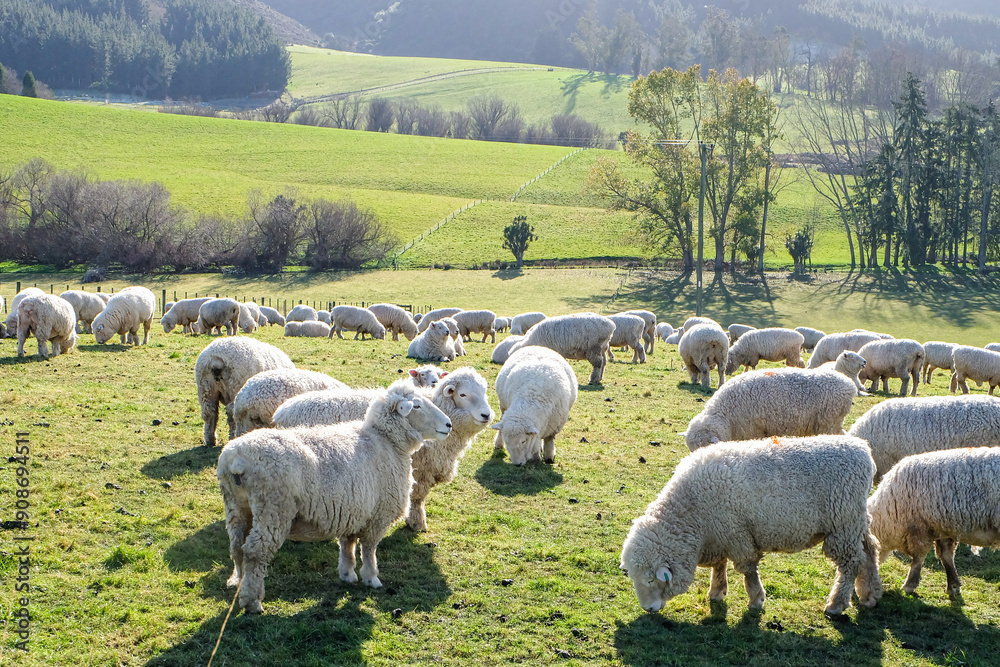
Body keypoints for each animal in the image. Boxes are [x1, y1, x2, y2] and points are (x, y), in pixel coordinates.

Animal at [217, 379, 453, 613]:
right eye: (417, 406)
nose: (449, 425)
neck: (387, 441)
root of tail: (235, 460)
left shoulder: (352, 510)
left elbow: (347, 545)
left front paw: (347, 574)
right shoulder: (378, 516)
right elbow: (369, 549)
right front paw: (371, 578)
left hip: (236, 506)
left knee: (236, 545)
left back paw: (237, 583)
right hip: (273, 508)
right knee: (255, 552)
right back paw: (252, 601)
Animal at [407, 367, 493, 531]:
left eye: (484, 392)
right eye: (462, 394)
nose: (486, 415)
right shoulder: (419, 470)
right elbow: (416, 498)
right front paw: (417, 523)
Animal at [620, 435, 882, 616]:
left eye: (650, 580)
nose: (648, 608)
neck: (692, 513)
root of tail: (864, 451)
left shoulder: (736, 533)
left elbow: (747, 569)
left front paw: (756, 599)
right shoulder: (720, 533)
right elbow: (719, 564)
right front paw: (717, 592)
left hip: (843, 522)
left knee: (851, 562)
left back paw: (836, 605)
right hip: (856, 520)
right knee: (870, 550)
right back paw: (870, 594)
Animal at [868, 448, 1000, 598]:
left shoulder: (919, 528)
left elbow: (918, 557)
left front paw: (909, 585)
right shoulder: (944, 527)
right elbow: (946, 556)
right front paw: (953, 586)